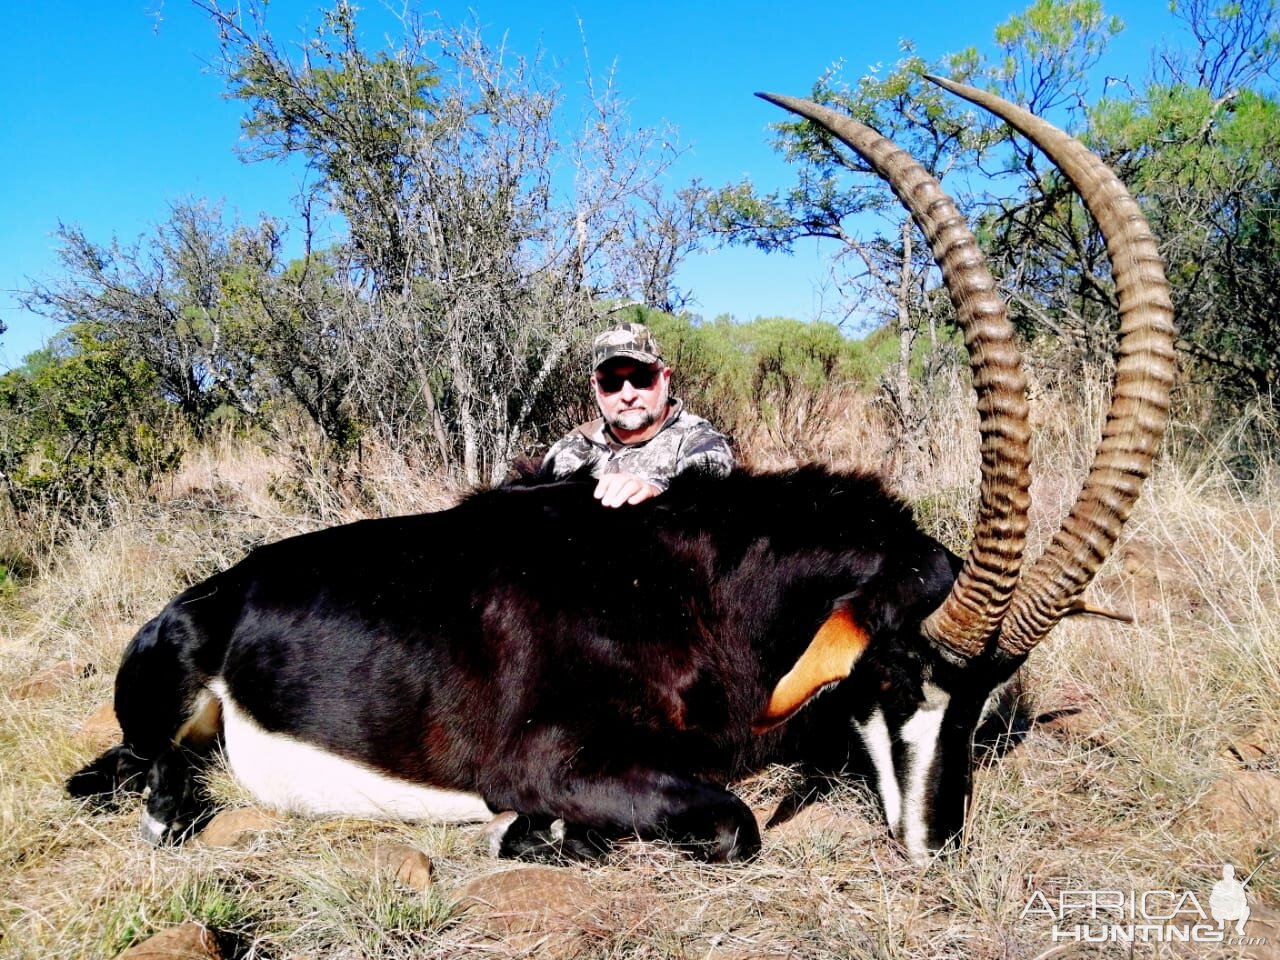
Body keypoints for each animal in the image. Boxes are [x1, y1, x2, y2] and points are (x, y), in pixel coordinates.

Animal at [67, 79, 1172, 865]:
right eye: (898, 669)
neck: (693, 593)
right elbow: (732, 823)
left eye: (985, 690)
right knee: (151, 774)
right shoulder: (548, 759)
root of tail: (220, 589)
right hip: (168, 696)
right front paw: (534, 832)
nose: (934, 846)